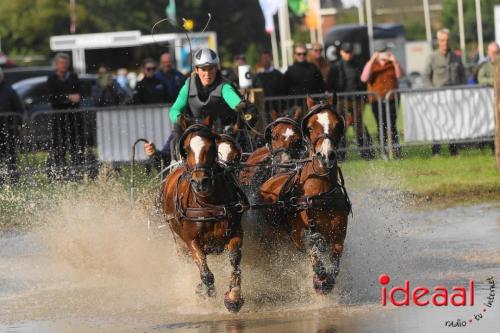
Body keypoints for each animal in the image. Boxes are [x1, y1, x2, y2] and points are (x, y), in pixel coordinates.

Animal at [163, 123, 249, 310]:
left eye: (210, 148)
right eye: (186, 150)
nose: (200, 182)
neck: (210, 204)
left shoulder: (235, 231)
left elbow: (235, 260)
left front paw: (233, 297)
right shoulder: (191, 240)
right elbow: (205, 272)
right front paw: (205, 291)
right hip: (177, 239)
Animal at [258, 95, 352, 294]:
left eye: (338, 125)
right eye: (309, 127)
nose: (326, 156)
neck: (319, 195)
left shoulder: (339, 236)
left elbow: (334, 264)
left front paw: (327, 280)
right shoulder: (299, 237)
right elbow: (313, 253)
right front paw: (319, 278)